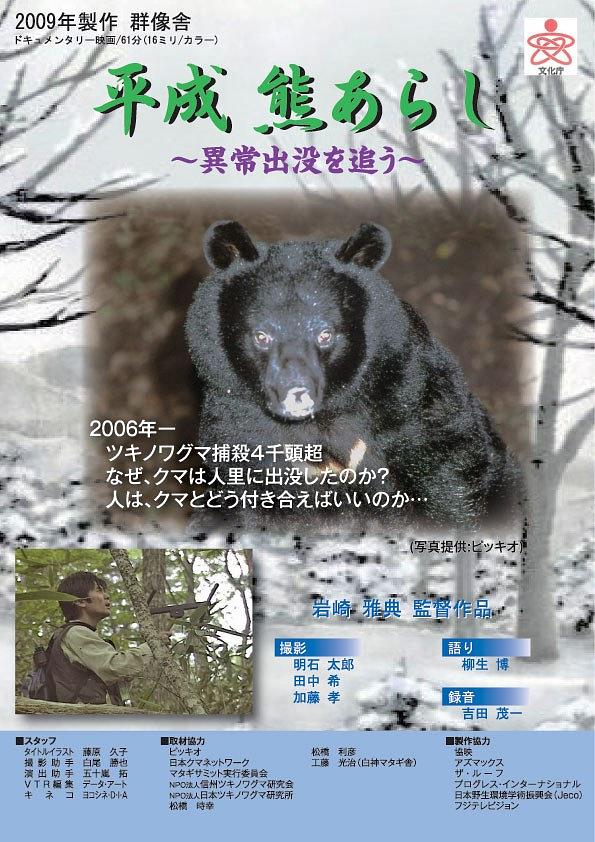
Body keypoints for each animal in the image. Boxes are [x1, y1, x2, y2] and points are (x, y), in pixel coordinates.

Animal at [185, 220, 521, 530]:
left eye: (326, 334)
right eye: (261, 336)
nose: (295, 394)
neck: (319, 421)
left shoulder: (412, 401)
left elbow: (449, 480)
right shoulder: (239, 427)